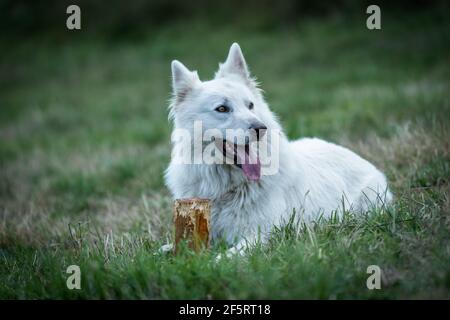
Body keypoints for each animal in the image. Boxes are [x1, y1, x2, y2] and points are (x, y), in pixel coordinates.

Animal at [163, 43, 392, 258]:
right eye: (221, 108)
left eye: (250, 105)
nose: (260, 128)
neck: (226, 186)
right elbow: (164, 248)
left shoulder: (261, 234)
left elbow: (225, 257)